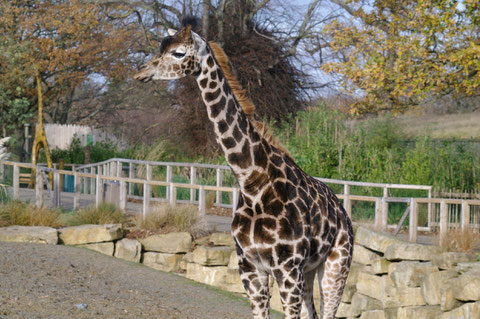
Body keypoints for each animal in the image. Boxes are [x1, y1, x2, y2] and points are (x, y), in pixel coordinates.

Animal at [134, 21, 352, 318]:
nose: (140, 72)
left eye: (178, 53)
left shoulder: (287, 269)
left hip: (335, 265)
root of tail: (343, 213)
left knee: (329, 310)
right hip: (309, 270)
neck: (252, 182)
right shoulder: (249, 267)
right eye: (161, 46)